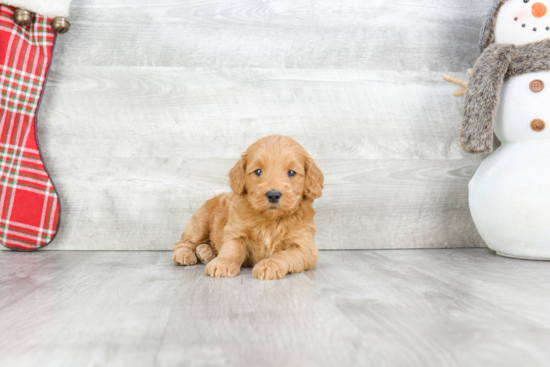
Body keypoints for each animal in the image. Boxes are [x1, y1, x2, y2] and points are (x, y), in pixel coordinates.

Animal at [172, 135, 324, 282]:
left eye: (292, 173)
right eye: (258, 171)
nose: (273, 195)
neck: (270, 220)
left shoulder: (304, 246)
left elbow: (284, 254)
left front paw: (269, 265)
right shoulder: (236, 232)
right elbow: (231, 249)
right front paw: (223, 263)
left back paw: (205, 252)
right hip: (200, 222)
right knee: (184, 242)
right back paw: (184, 254)